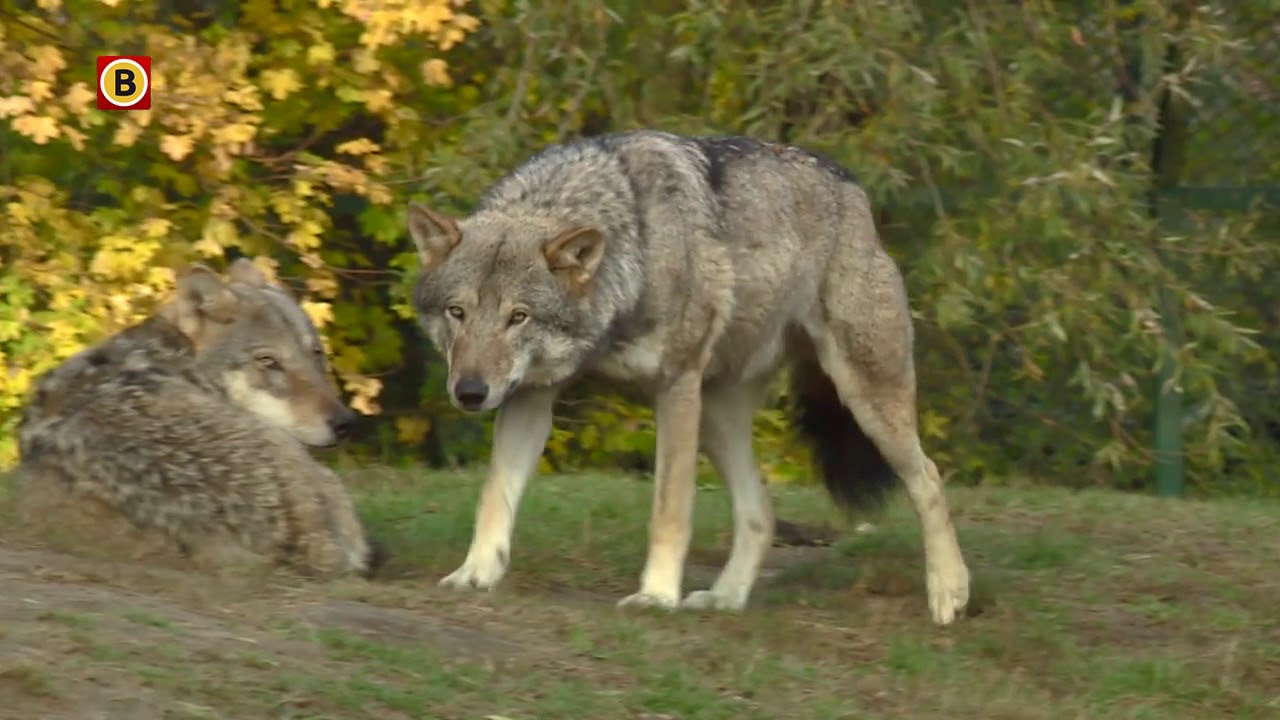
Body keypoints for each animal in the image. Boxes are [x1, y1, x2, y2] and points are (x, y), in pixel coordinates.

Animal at [407, 130, 970, 625]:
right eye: (457, 312)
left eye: (517, 317)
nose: (470, 392)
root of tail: (854, 189)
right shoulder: (531, 396)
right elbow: (495, 495)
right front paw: (474, 574)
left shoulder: (675, 387)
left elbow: (670, 510)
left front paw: (656, 596)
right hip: (719, 418)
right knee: (761, 512)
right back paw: (725, 599)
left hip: (864, 398)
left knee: (930, 478)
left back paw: (949, 592)